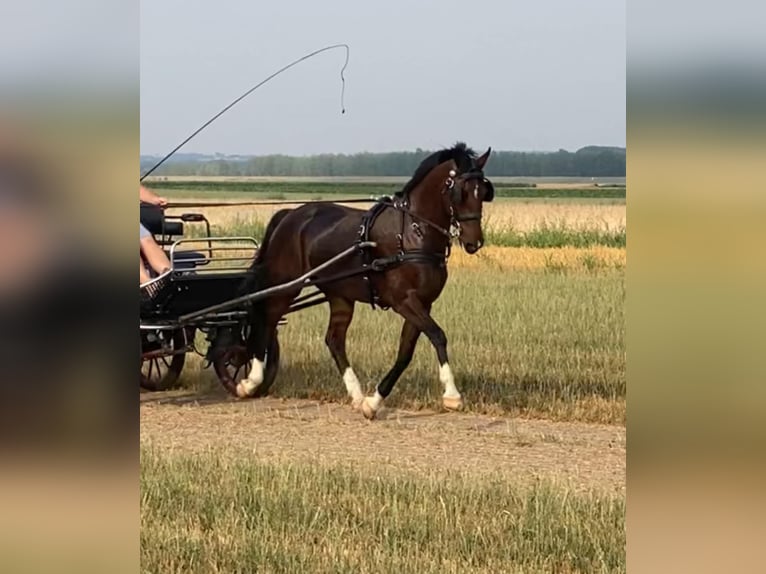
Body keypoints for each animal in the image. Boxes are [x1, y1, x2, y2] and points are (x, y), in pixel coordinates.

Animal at [237, 143, 496, 424]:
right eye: (460, 191)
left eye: (483, 192)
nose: (474, 242)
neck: (412, 233)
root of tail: (290, 214)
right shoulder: (404, 301)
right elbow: (438, 335)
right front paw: (452, 395)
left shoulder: (423, 303)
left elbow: (405, 353)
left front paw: (373, 403)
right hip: (286, 283)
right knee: (266, 317)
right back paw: (251, 381)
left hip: (339, 294)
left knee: (334, 340)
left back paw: (357, 394)